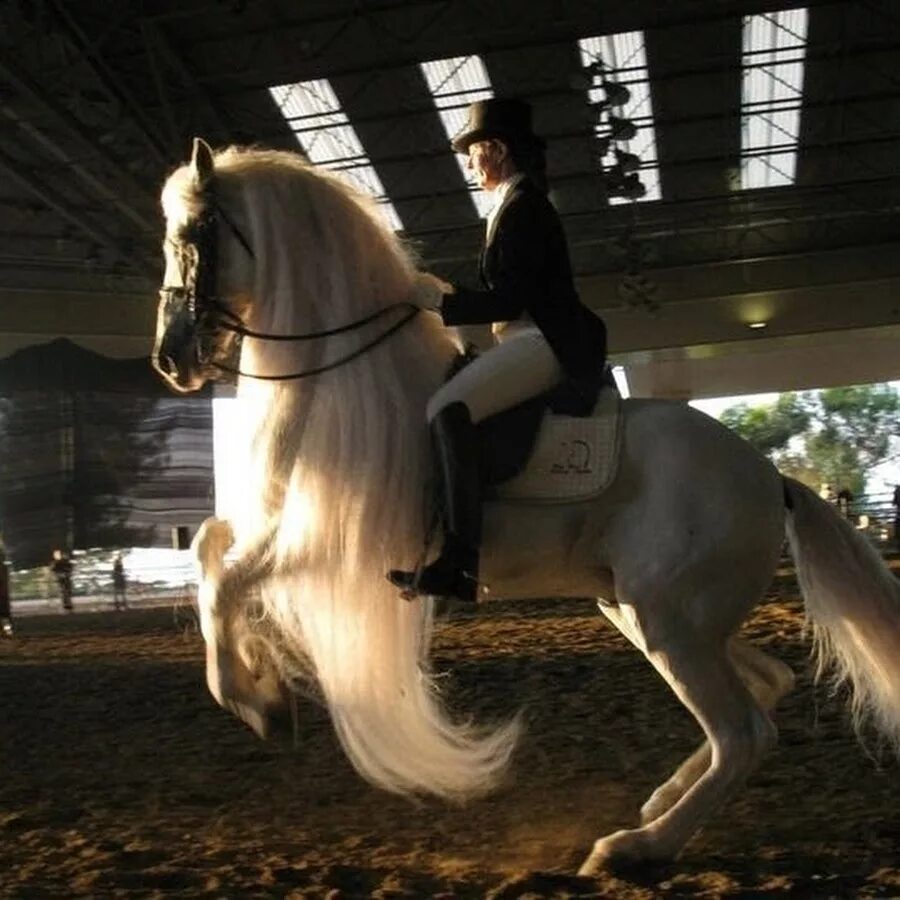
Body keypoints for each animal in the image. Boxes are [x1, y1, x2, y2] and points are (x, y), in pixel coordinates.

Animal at [151, 141, 900, 872]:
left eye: (193, 235)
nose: (169, 360)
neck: (339, 379)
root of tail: (769, 477)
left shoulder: (325, 538)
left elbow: (224, 582)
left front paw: (260, 705)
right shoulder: (281, 519)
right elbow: (208, 548)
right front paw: (267, 689)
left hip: (671, 621)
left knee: (744, 731)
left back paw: (637, 848)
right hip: (649, 612)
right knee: (766, 687)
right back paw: (659, 803)